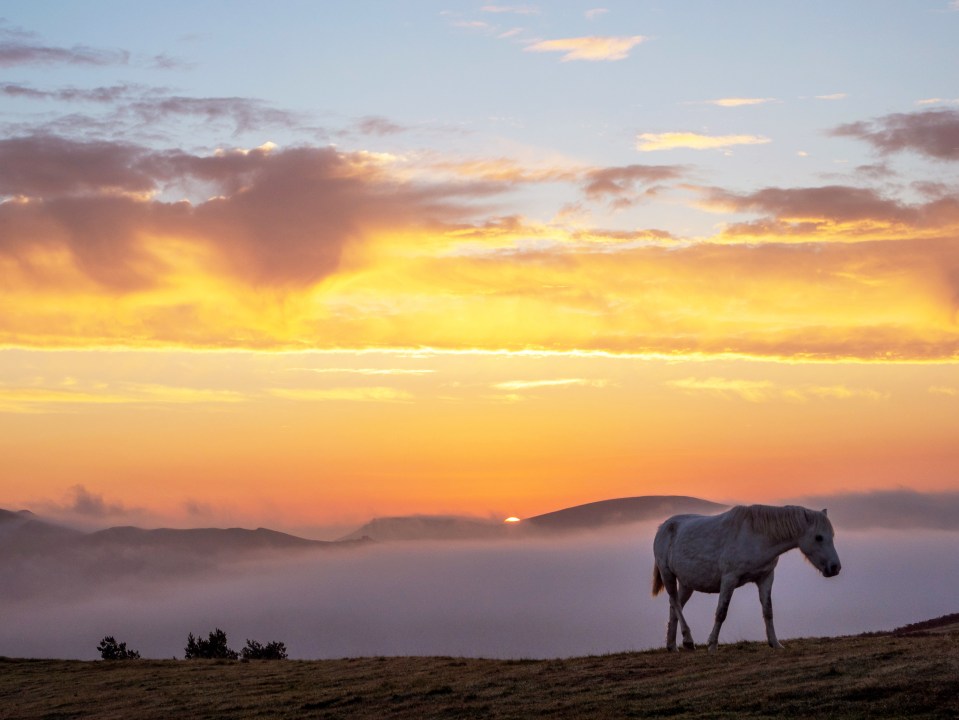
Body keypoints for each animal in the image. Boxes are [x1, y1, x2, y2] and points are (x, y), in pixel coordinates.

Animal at [652, 506, 840, 652]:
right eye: (818, 537)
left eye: (832, 536)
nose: (835, 567)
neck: (756, 537)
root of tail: (664, 527)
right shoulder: (729, 579)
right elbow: (721, 612)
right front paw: (712, 645)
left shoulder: (766, 578)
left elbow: (768, 611)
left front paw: (775, 643)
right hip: (668, 575)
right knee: (675, 603)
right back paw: (688, 640)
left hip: (686, 583)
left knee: (675, 605)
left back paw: (672, 646)